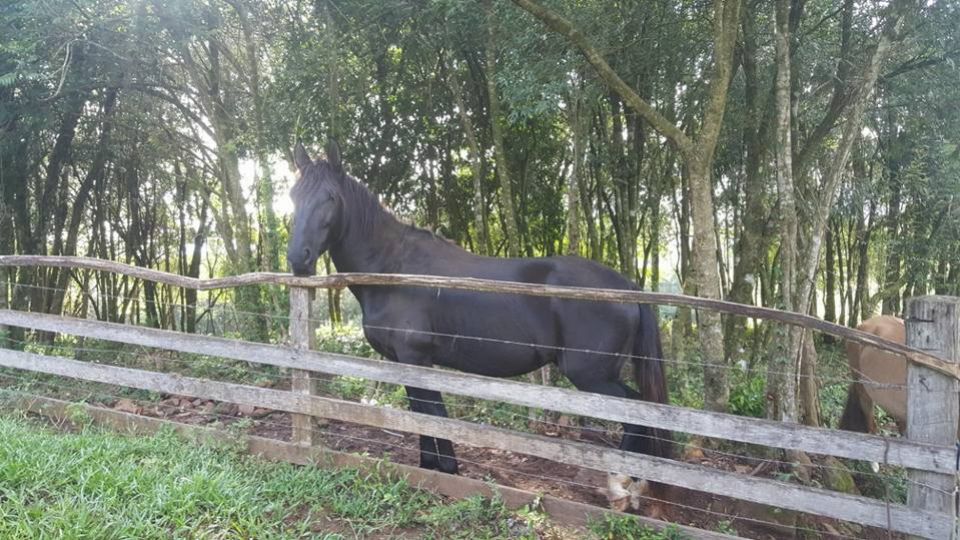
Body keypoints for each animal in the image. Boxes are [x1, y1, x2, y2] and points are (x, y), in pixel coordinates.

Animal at [286, 140, 672, 512]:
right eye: (293, 195)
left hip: (592, 375)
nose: (297, 259)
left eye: (330, 198)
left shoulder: (415, 358)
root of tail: (626, 286)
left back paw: (623, 488)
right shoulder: (405, 363)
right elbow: (419, 412)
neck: (393, 269)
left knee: (638, 414)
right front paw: (429, 466)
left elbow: (432, 412)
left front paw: (447, 469)